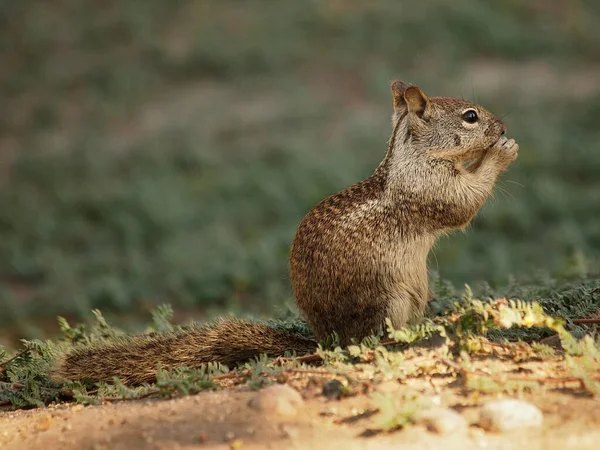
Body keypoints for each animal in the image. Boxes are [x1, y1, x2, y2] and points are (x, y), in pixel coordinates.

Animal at [51, 80, 516, 384]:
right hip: (390, 301)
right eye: (471, 117)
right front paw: (500, 153)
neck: (412, 156)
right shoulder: (432, 188)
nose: (504, 125)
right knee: (374, 342)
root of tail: (325, 342)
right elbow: (465, 202)